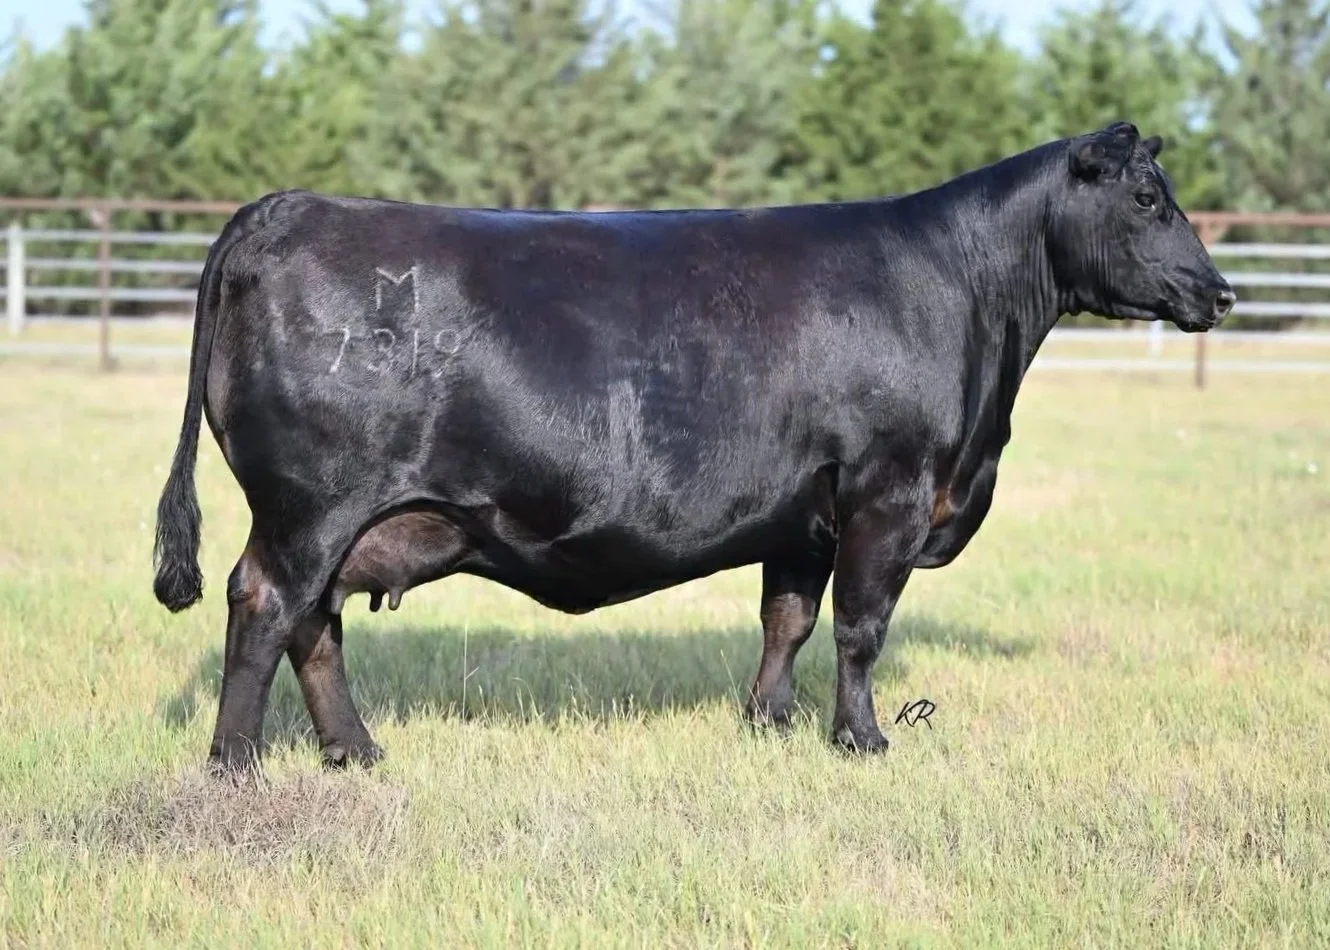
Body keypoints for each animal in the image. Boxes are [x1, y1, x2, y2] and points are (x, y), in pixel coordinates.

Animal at [151, 120, 1234, 775]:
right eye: (1147, 200)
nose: (1221, 292)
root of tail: (287, 206)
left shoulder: (806, 514)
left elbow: (788, 621)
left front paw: (768, 723)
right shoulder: (887, 489)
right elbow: (860, 628)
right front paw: (863, 738)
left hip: (341, 518)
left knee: (315, 623)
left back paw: (357, 752)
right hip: (309, 504)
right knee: (267, 605)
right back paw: (237, 764)